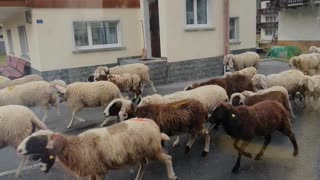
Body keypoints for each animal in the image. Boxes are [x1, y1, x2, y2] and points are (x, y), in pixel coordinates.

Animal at [16, 118, 178, 180]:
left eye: (37, 141)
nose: (18, 150)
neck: (75, 146)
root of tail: (153, 124)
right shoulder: (92, 170)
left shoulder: (99, 170)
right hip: (140, 153)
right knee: (144, 165)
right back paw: (138, 178)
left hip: (153, 150)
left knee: (168, 159)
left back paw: (172, 176)